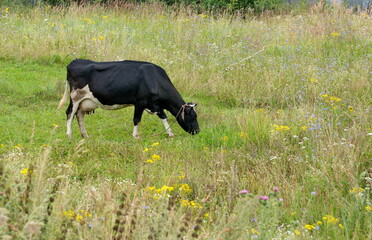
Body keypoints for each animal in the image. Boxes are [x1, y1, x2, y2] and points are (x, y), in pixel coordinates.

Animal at [57, 59, 201, 139]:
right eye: (193, 116)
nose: (198, 131)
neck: (154, 79)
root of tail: (75, 61)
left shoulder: (155, 104)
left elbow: (163, 117)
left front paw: (170, 134)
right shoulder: (140, 102)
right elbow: (136, 119)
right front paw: (135, 136)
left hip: (84, 101)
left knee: (79, 115)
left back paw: (85, 135)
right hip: (75, 97)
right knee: (69, 113)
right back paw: (69, 135)